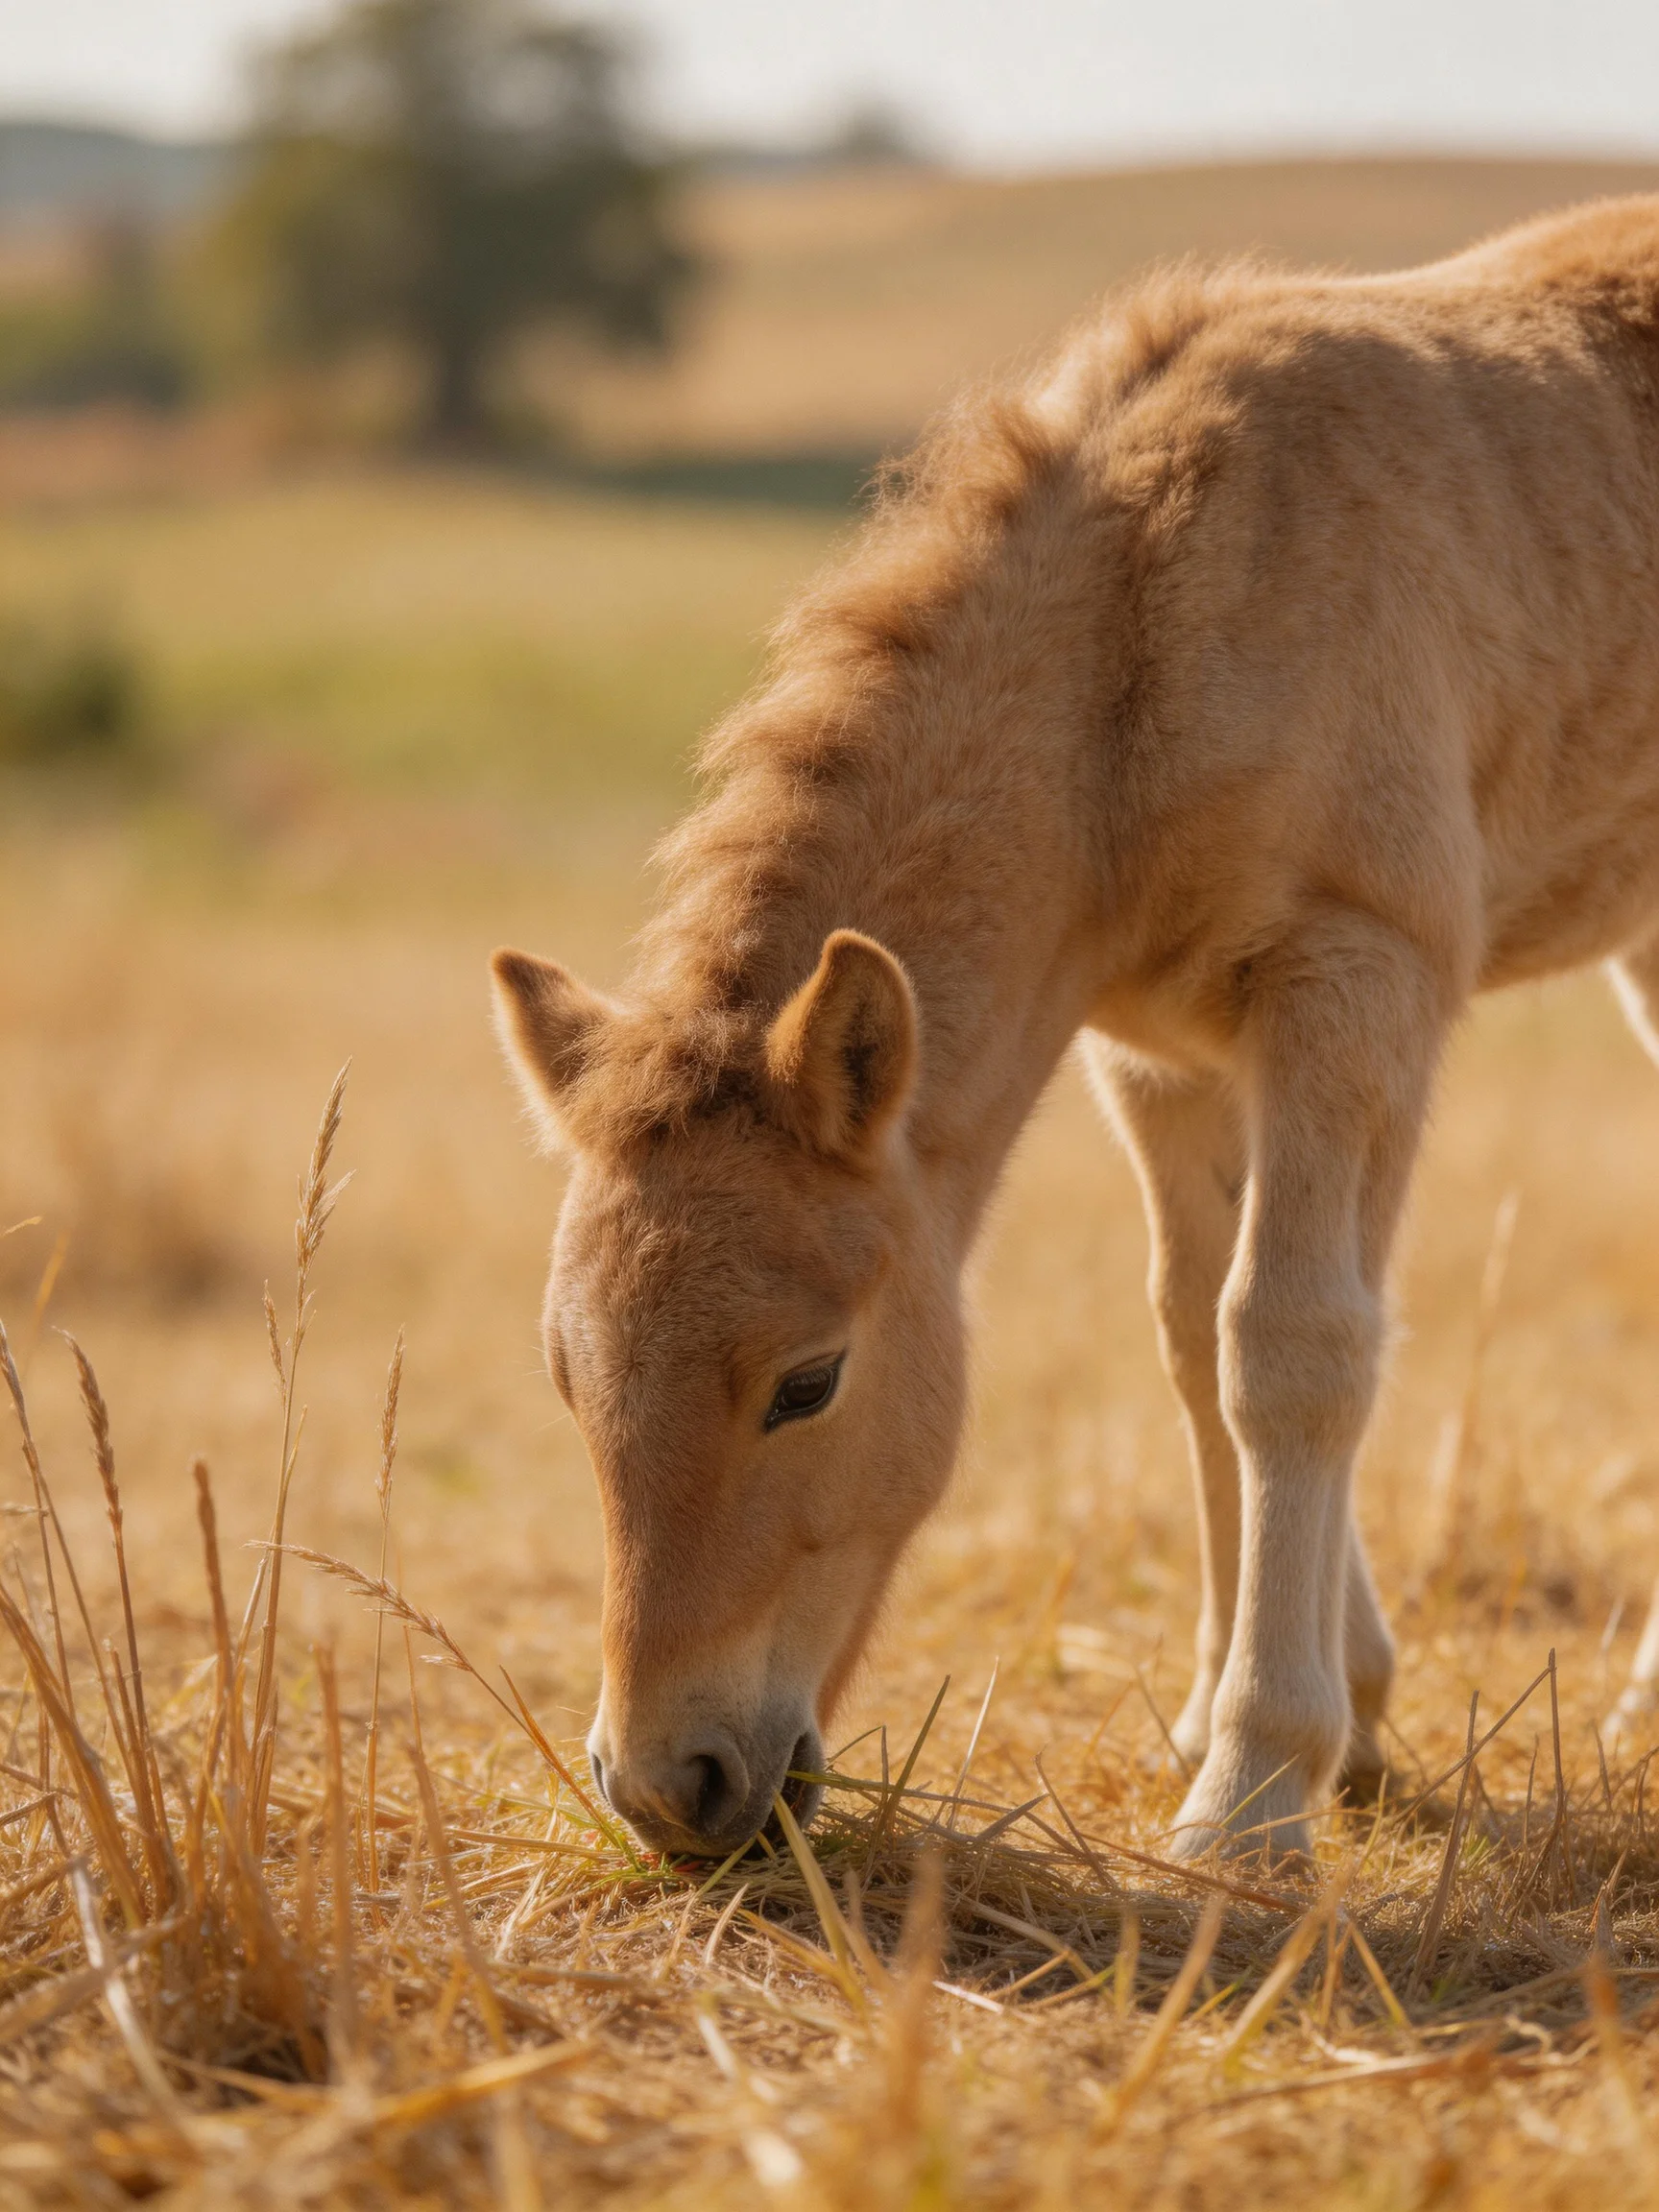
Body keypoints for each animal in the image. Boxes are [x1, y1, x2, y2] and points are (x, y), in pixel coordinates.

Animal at [492, 196, 1659, 1862]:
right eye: (570, 1378)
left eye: (808, 1381)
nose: (670, 1787)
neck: (1154, 629)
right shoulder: (1161, 1048)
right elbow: (1193, 1338)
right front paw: (1317, 1721)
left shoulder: (1354, 974)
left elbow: (1291, 1344)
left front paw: (1252, 1792)